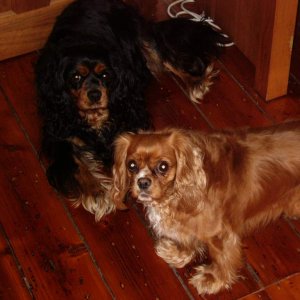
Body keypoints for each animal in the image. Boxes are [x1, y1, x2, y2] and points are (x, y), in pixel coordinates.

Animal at [110, 122, 300, 296]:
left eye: (163, 166)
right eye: (131, 165)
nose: (142, 182)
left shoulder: (221, 235)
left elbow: (221, 259)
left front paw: (213, 280)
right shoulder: (187, 225)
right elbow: (187, 240)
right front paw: (178, 253)